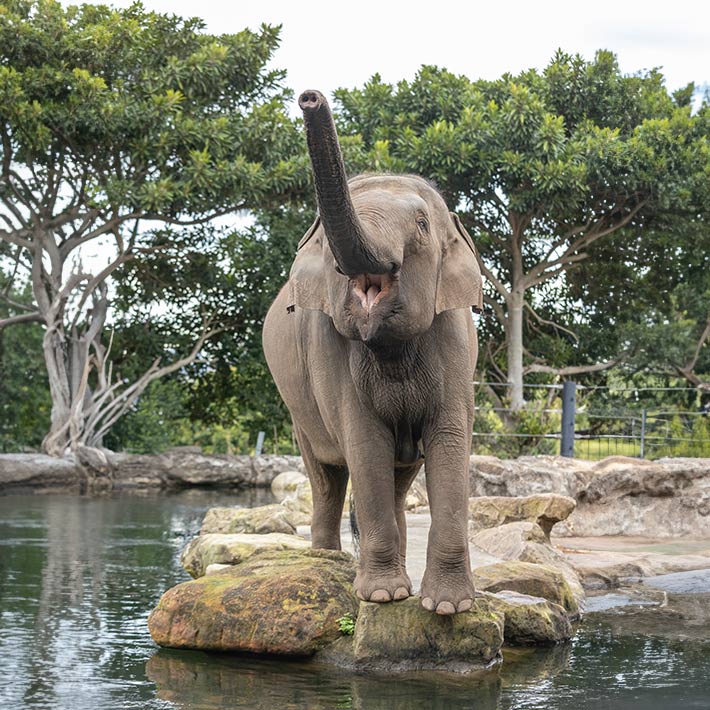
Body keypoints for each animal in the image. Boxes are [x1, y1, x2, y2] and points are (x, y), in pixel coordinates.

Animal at [263, 90, 483, 614]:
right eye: (324, 240)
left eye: (422, 225)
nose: (310, 97)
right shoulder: (329, 351)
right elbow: (364, 445)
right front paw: (382, 596)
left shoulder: (455, 339)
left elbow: (449, 438)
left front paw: (447, 607)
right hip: (298, 410)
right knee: (326, 476)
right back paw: (327, 561)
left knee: (400, 478)